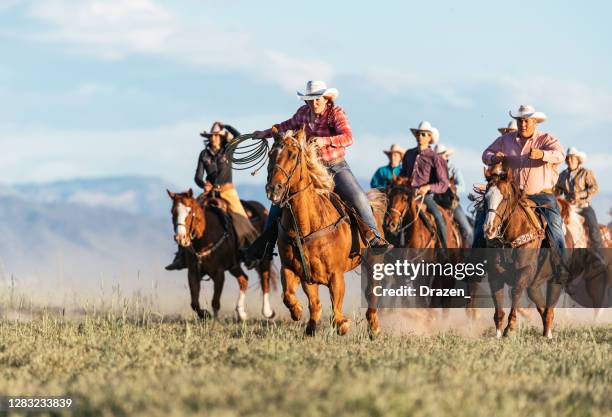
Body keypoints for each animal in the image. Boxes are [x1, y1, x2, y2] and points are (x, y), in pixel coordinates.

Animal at [165, 190, 274, 320]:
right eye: (173, 212)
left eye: (190, 211)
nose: (180, 238)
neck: (205, 237)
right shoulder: (193, 273)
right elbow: (194, 303)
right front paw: (205, 314)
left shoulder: (219, 273)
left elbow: (215, 302)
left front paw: (215, 320)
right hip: (234, 266)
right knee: (244, 280)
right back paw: (241, 313)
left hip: (263, 257)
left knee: (265, 279)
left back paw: (267, 311)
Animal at [266, 128, 384, 336]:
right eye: (271, 154)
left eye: (293, 154)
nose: (274, 188)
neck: (307, 226)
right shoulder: (294, 269)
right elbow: (294, 297)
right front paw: (299, 313)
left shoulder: (336, 275)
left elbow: (336, 310)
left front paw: (343, 324)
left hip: (373, 263)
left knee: (372, 294)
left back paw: (374, 328)